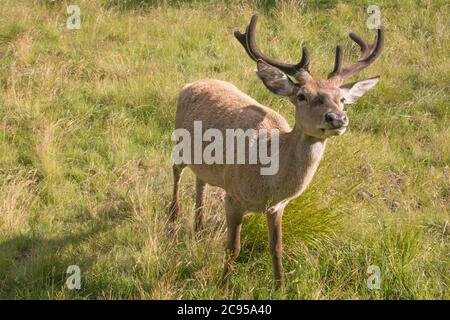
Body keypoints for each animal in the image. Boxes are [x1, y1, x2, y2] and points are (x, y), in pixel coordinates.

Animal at [169, 15, 384, 288]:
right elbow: (233, 248)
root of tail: (191, 83)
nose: (337, 118)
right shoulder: (233, 196)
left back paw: (198, 227)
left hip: (206, 163)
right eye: (302, 96)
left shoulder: (277, 207)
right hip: (180, 141)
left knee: (200, 181)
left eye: (342, 99)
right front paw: (224, 285)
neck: (268, 181)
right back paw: (172, 217)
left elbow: (277, 247)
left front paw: (280, 285)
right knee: (176, 170)